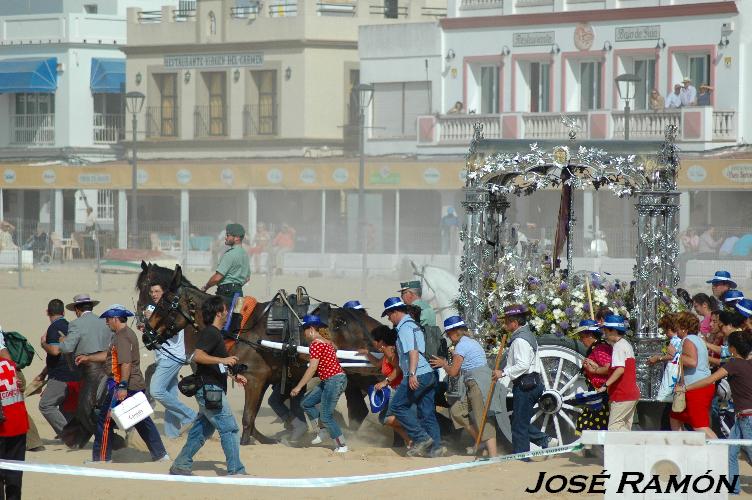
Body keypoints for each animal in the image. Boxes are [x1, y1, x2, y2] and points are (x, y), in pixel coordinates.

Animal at [143, 264, 382, 444]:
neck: (236, 327)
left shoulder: (254, 379)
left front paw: (245, 441)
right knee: (358, 409)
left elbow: (248, 417)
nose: (146, 334)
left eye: (163, 303)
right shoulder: (263, 380)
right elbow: (254, 415)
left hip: (364, 372)